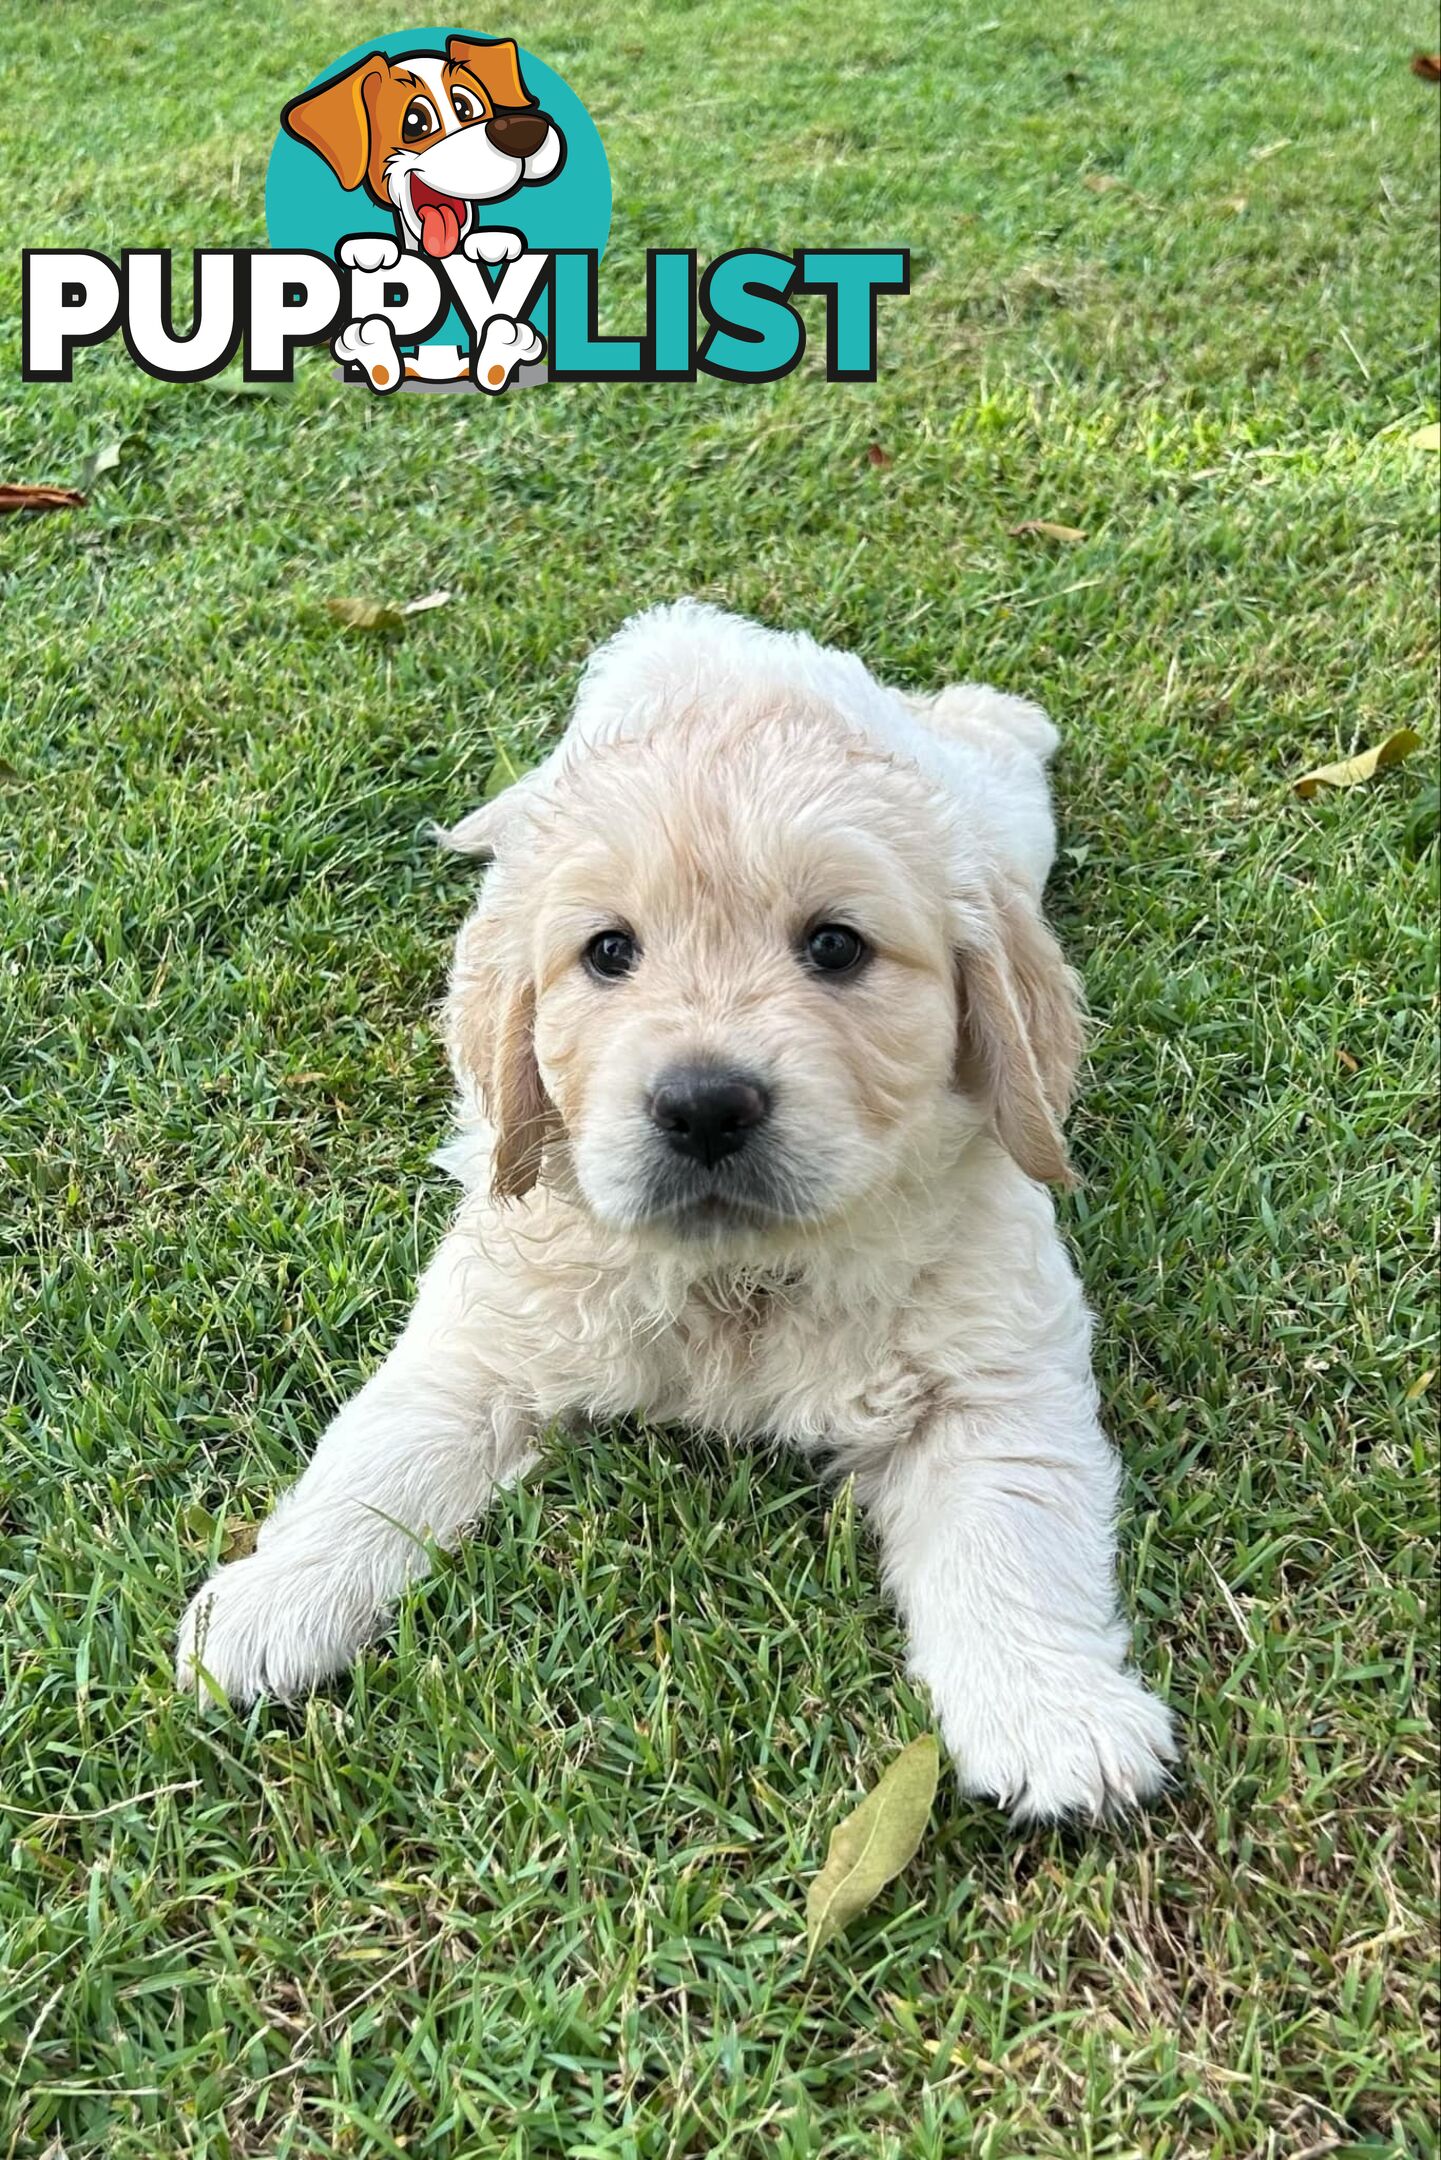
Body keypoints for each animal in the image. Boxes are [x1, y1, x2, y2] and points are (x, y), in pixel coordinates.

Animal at [177, 600, 1183, 1814]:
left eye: (835, 945)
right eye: (608, 952)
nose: (704, 1106)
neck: (736, 1273)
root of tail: (706, 631)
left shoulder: (992, 1368)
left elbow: (1012, 1528)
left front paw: (1051, 1713)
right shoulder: (485, 1324)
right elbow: (380, 1456)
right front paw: (273, 1601)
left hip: (996, 813)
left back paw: (1006, 714)